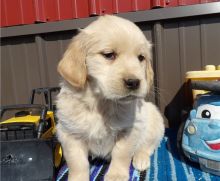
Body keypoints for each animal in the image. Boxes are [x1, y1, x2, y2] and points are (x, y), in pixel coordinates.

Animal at [55, 14, 164, 180]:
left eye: (141, 58)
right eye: (109, 55)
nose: (134, 82)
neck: (101, 103)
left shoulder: (130, 129)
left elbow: (121, 153)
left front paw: (116, 175)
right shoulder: (69, 133)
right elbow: (77, 162)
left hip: (154, 121)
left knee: (148, 146)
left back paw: (141, 159)